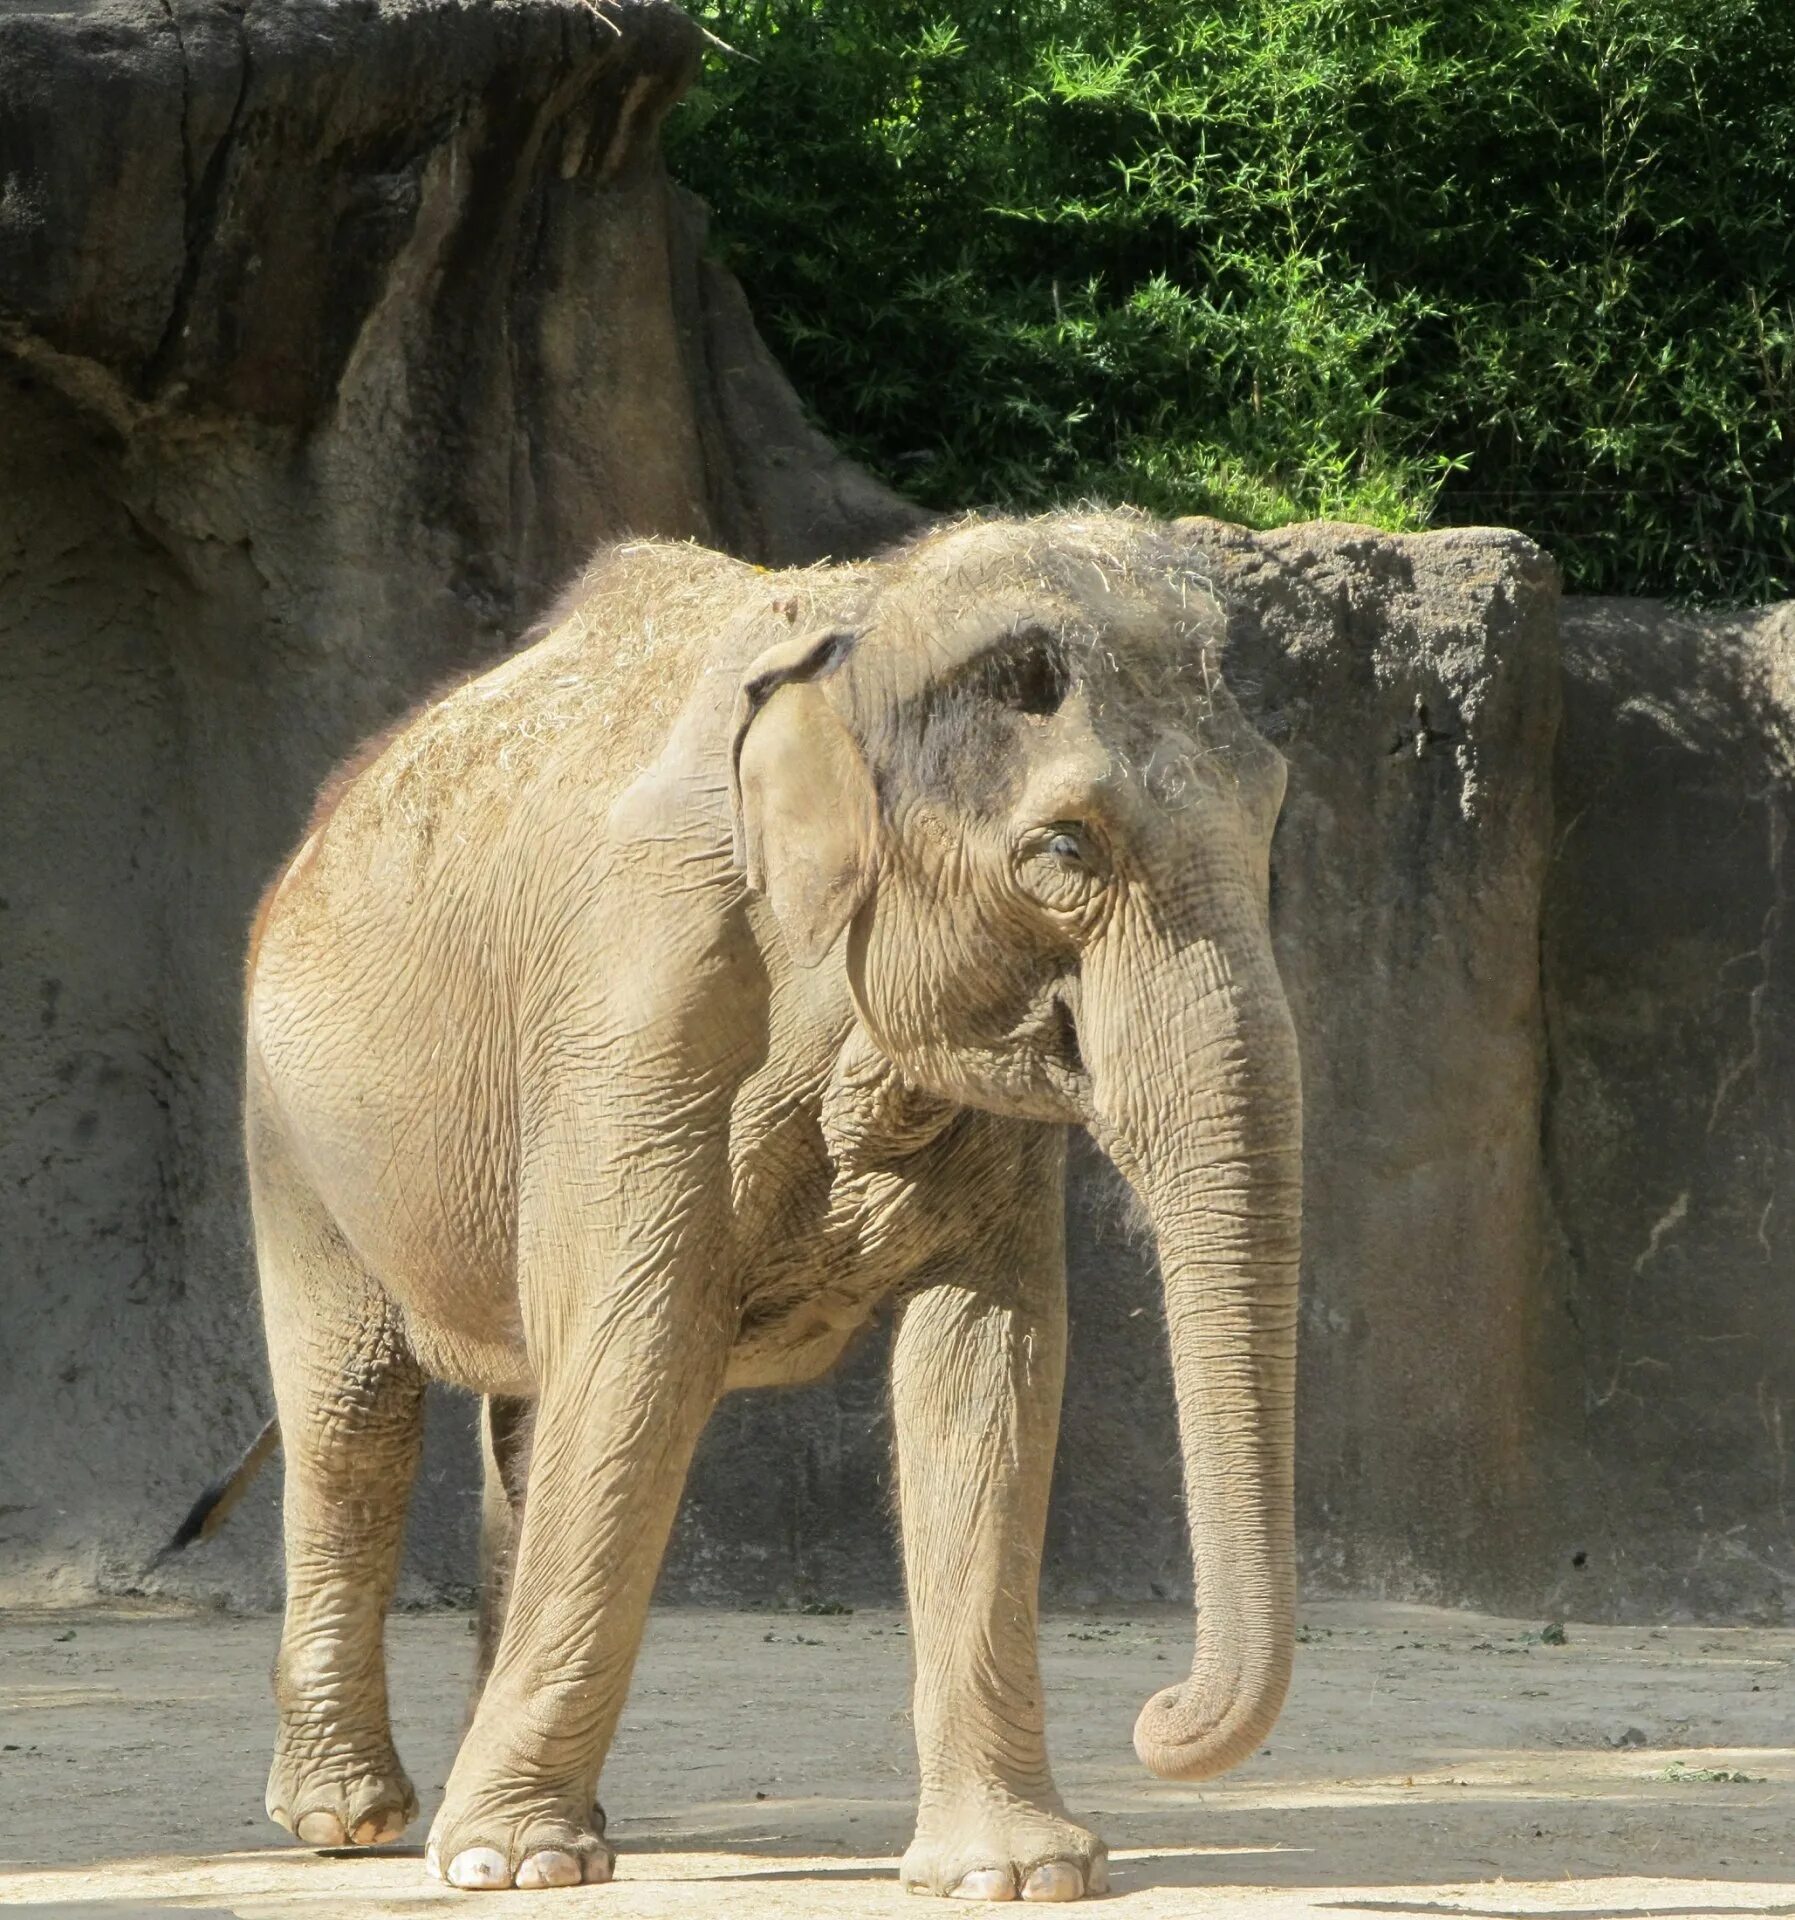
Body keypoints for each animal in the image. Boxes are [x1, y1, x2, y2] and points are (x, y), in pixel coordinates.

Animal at [241, 510, 1305, 1904]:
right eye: (1065, 850)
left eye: (1272, 817)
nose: (1158, 1717)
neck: (861, 636)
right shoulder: (636, 1004)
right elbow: (644, 1353)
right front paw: (513, 1869)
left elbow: (988, 1367)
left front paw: (1014, 1877)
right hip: (292, 1128)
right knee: (354, 1415)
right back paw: (357, 1823)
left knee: (522, 1420)